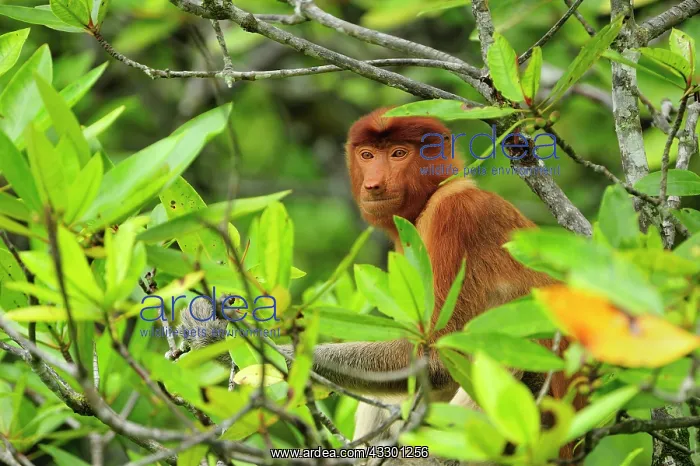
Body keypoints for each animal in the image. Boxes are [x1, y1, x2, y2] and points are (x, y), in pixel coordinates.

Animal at [179, 108, 580, 458]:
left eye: (399, 153)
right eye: (367, 154)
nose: (373, 184)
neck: (432, 197)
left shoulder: (455, 216)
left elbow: (437, 358)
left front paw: (244, 346)